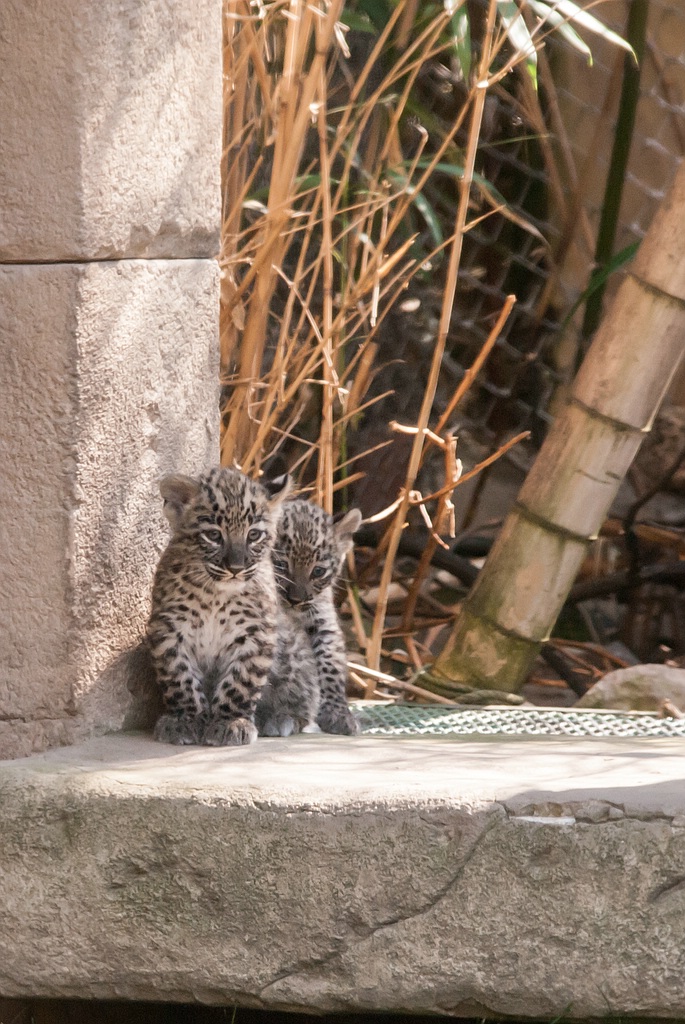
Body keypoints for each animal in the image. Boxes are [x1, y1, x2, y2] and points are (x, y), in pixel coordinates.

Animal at [147, 466, 290, 746]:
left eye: (254, 535)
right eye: (213, 535)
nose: (236, 568)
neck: (216, 595)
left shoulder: (256, 633)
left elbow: (240, 682)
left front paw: (231, 722)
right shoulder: (169, 628)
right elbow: (180, 677)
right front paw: (185, 719)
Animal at [255, 499, 362, 737]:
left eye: (318, 571)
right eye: (281, 565)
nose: (295, 599)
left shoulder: (323, 621)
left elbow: (331, 665)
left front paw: (338, 714)